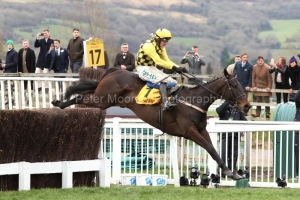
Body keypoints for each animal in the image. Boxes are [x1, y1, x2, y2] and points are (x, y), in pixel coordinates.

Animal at [52, 68, 251, 179]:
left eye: (242, 84)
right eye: (234, 86)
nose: (247, 106)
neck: (194, 101)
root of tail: (114, 71)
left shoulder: (202, 129)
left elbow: (213, 149)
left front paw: (231, 172)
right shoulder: (189, 131)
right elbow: (209, 147)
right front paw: (229, 172)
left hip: (104, 99)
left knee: (84, 93)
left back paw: (60, 102)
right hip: (102, 99)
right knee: (81, 97)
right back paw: (59, 104)